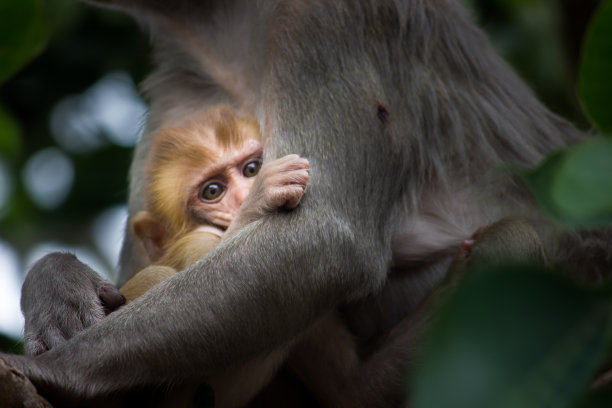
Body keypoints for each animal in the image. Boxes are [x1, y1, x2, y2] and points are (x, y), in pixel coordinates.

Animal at [3, 0, 608, 406]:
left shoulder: (324, 19)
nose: (246, 194)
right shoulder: (183, 87)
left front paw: (57, 372)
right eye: (212, 191)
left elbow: (322, 242)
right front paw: (56, 283)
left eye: (250, 168)